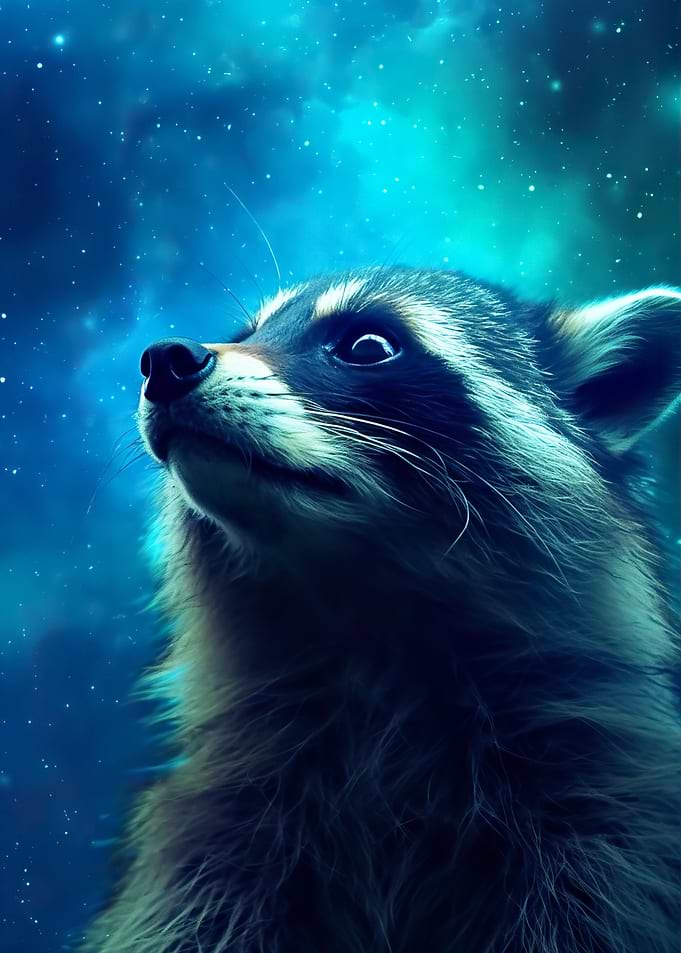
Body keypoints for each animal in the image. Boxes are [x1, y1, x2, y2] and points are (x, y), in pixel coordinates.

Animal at [84, 267, 681, 952]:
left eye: (367, 345)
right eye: (247, 333)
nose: (166, 359)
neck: (359, 613)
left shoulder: (610, 817)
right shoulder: (219, 827)